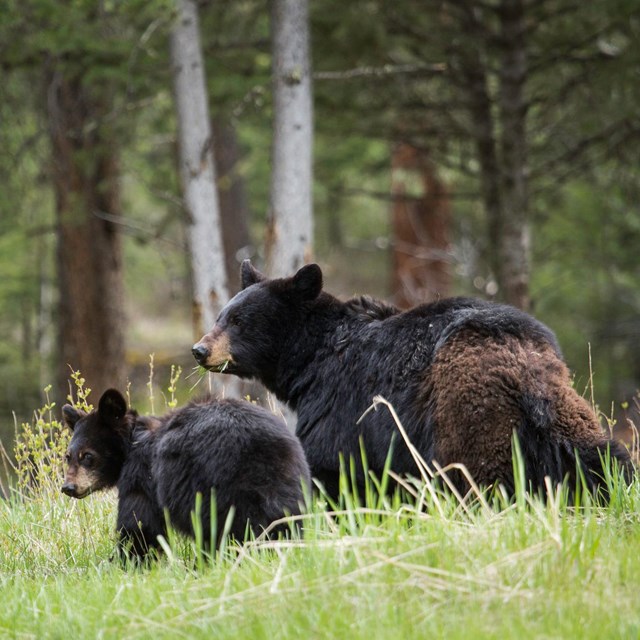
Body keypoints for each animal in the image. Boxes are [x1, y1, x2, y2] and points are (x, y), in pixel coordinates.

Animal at [61, 388, 312, 556]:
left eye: (87, 456)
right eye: (68, 455)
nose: (68, 487)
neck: (133, 441)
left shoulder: (142, 475)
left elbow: (139, 523)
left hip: (213, 487)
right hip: (290, 482)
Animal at [192, 260, 632, 500]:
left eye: (239, 320)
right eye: (221, 316)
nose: (200, 350)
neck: (311, 359)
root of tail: (523, 368)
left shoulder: (341, 402)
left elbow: (331, 465)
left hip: (468, 415)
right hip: (564, 413)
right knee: (601, 455)